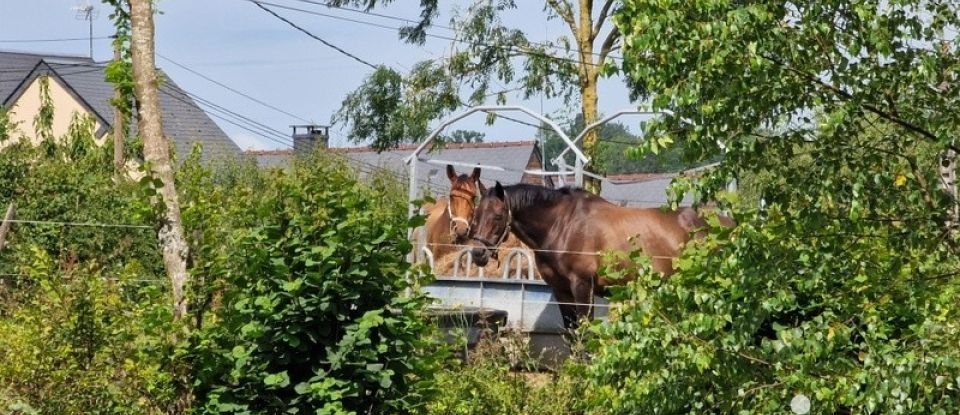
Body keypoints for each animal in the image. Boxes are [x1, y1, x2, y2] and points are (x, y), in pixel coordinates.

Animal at [466, 184, 736, 330]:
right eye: (476, 214)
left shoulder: (582, 286)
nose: (478, 253)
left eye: (498, 216)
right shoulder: (561, 291)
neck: (562, 225)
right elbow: (572, 334)